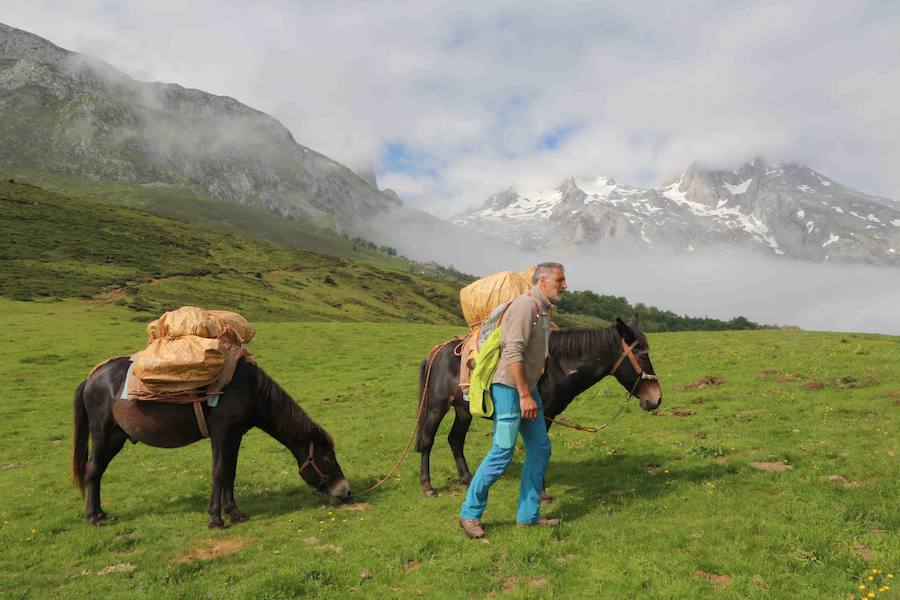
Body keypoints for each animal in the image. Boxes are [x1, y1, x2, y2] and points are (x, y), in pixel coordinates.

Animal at [72, 357, 351, 528]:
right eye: (328, 457)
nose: (346, 491)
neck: (250, 389)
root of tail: (91, 378)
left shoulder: (235, 435)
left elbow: (230, 472)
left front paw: (233, 512)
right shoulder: (222, 433)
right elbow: (218, 472)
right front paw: (216, 518)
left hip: (116, 437)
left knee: (97, 471)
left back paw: (99, 513)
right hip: (102, 433)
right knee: (92, 470)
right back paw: (93, 517)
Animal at [415, 316, 662, 498]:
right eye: (642, 355)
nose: (656, 398)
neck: (556, 366)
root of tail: (437, 351)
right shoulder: (541, 416)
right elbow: (540, 450)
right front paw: (541, 492)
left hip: (463, 409)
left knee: (455, 439)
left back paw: (466, 478)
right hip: (437, 407)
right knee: (427, 440)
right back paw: (427, 486)